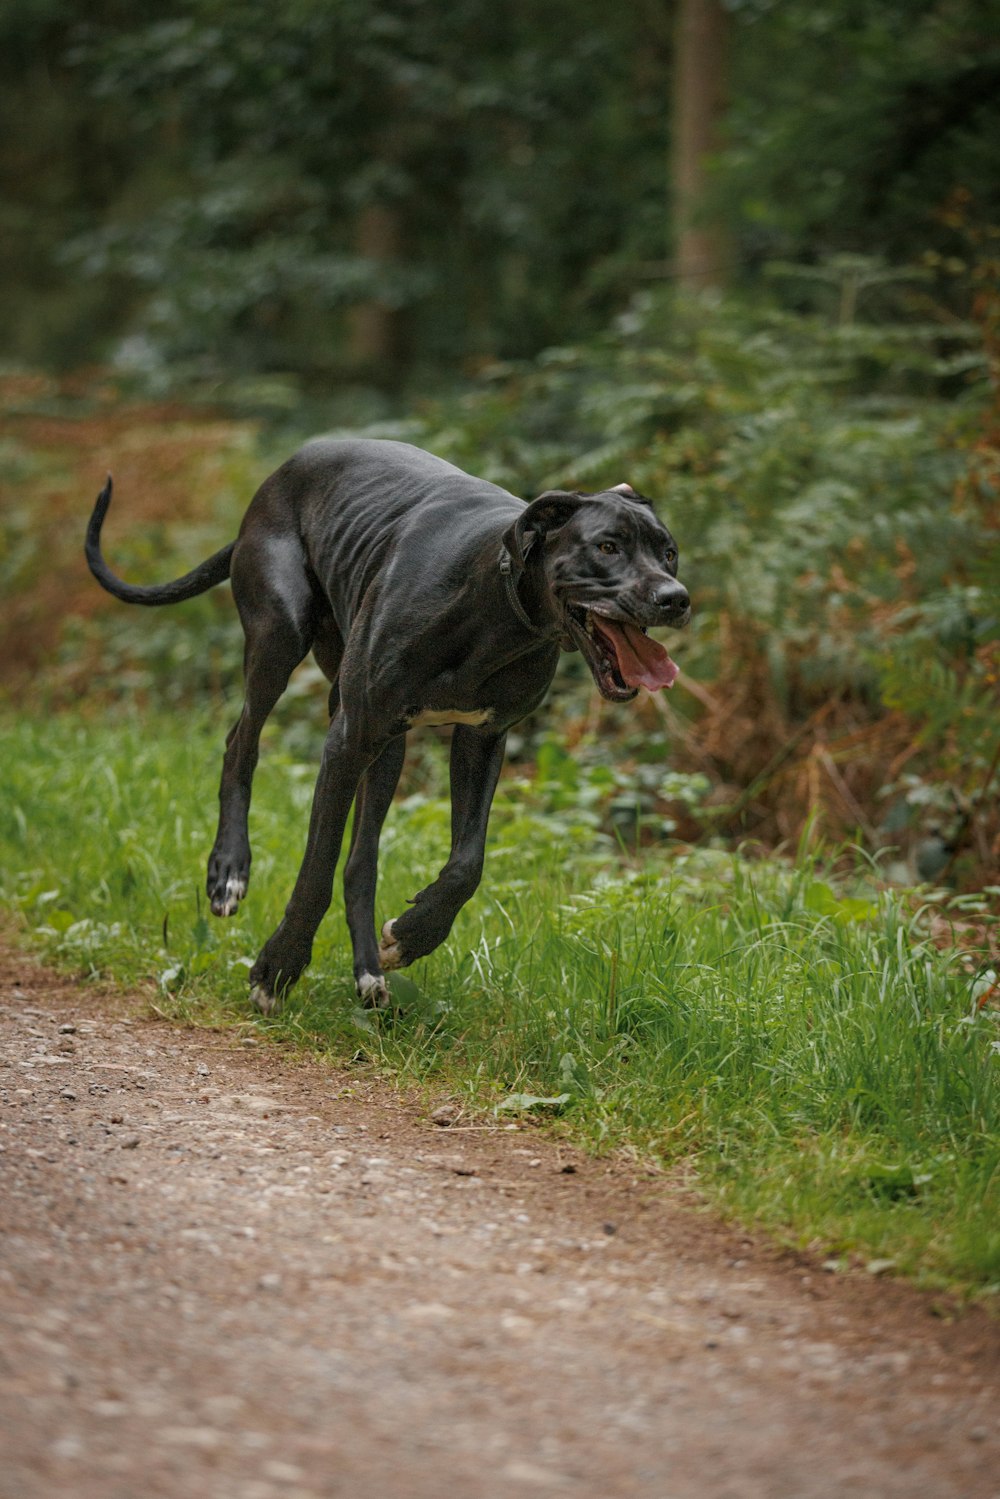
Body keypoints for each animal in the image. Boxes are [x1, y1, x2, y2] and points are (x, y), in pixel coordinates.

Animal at [86, 437, 692, 1013]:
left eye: (669, 552)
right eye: (607, 547)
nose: (676, 598)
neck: (493, 607)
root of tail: (278, 475)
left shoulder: (481, 739)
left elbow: (466, 863)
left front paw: (415, 935)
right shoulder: (346, 741)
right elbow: (315, 871)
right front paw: (277, 969)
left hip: (386, 748)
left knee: (362, 860)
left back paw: (368, 974)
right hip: (281, 638)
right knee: (241, 744)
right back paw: (230, 871)